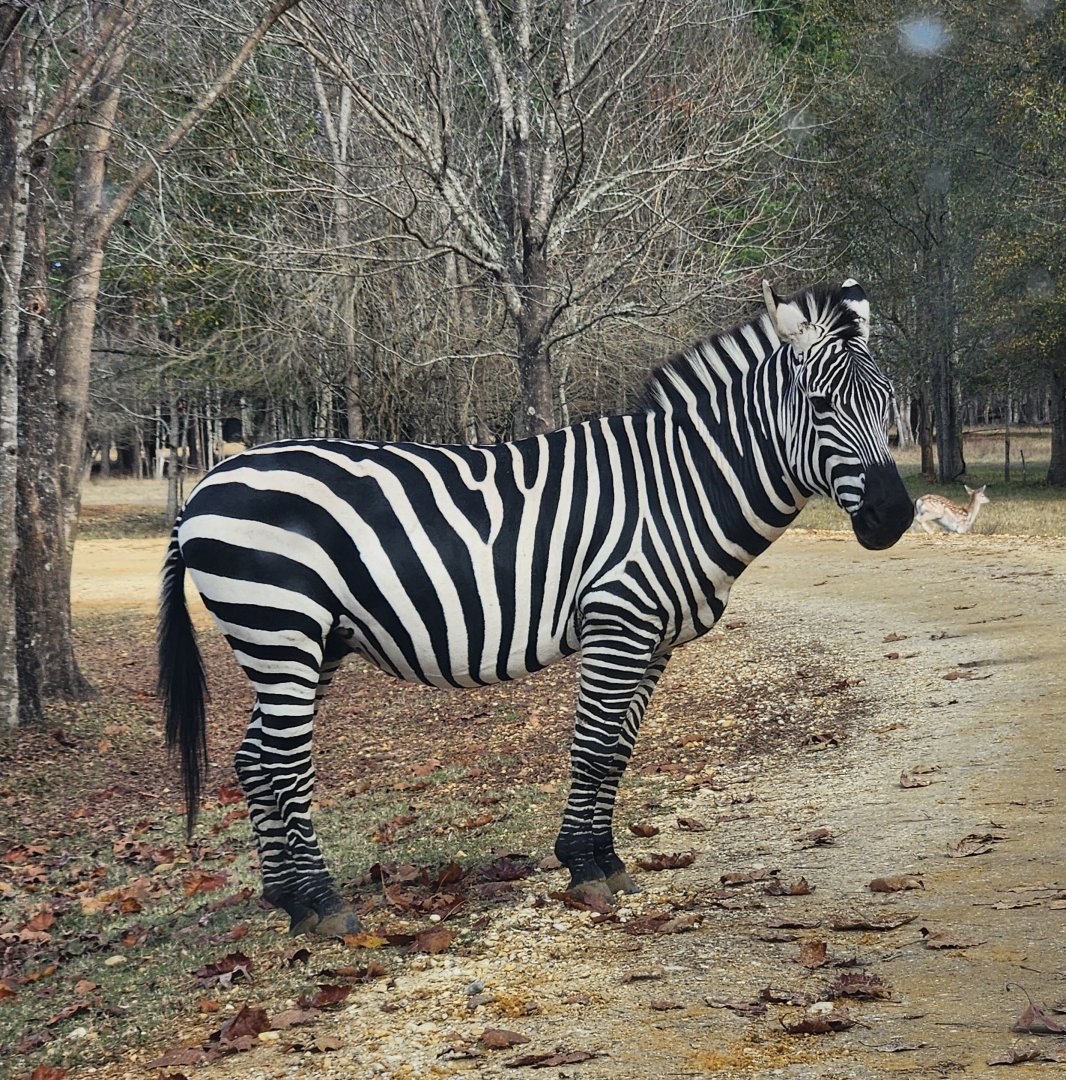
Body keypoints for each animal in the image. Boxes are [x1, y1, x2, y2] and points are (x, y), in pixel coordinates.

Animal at [158, 279, 914, 937]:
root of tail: (208, 480)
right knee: (283, 762)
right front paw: (583, 868)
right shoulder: (618, 620)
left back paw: (287, 900)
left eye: (888, 402)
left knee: (254, 758)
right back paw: (325, 906)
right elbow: (593, 746)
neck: (682, 486)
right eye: (820, 403)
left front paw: (607, 858)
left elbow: (618, 751)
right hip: (279, 627)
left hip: (313, 643)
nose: (895, 517)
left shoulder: (656, 640)